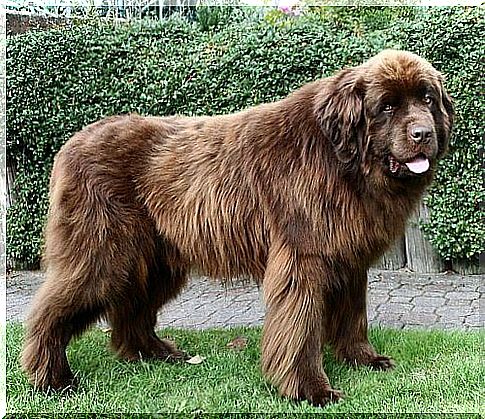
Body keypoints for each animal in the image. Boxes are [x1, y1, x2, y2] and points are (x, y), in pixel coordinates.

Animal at [21, 49, 454, 406]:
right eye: (387, 106)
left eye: (427, 99)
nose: (424, 134)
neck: (341, 158)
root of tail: (72, 142)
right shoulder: (303, 257)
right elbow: (300, 328)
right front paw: (311, 390)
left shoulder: (348, 258)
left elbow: (353, 315)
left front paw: (363, 359)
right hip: (103, 254)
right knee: (50, 310)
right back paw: (52, 379)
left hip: (154, 260)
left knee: (132, 308)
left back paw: (155, 354)